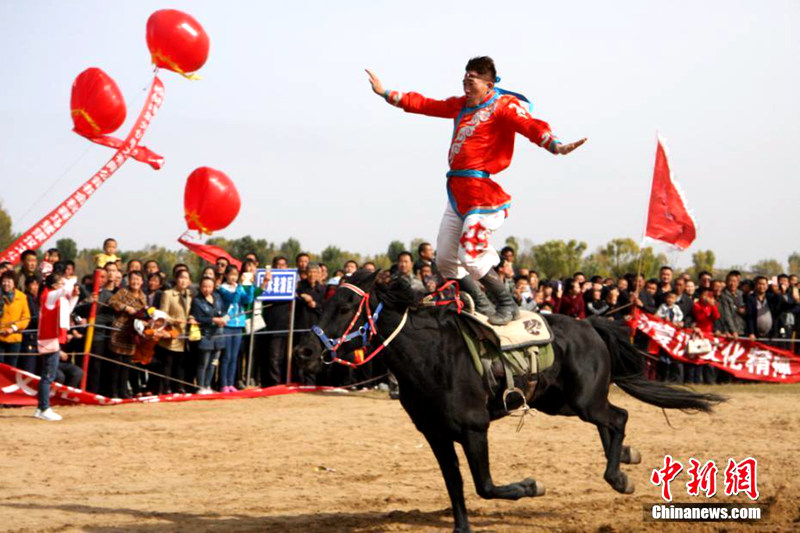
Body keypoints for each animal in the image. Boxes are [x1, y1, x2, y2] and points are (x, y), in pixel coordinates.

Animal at [296, 272, 724, 528]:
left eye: (345, 307)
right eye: (323, 302)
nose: (304, 352)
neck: (430, 356)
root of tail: (589, 325)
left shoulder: (473, 429)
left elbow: (484, 486)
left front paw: (532, 486)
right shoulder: (437, 435)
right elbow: (455, 486)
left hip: (583, 399)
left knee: (617, 417)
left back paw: (618, 475)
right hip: (559, 401)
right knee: (611, 420)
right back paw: (626, 460)